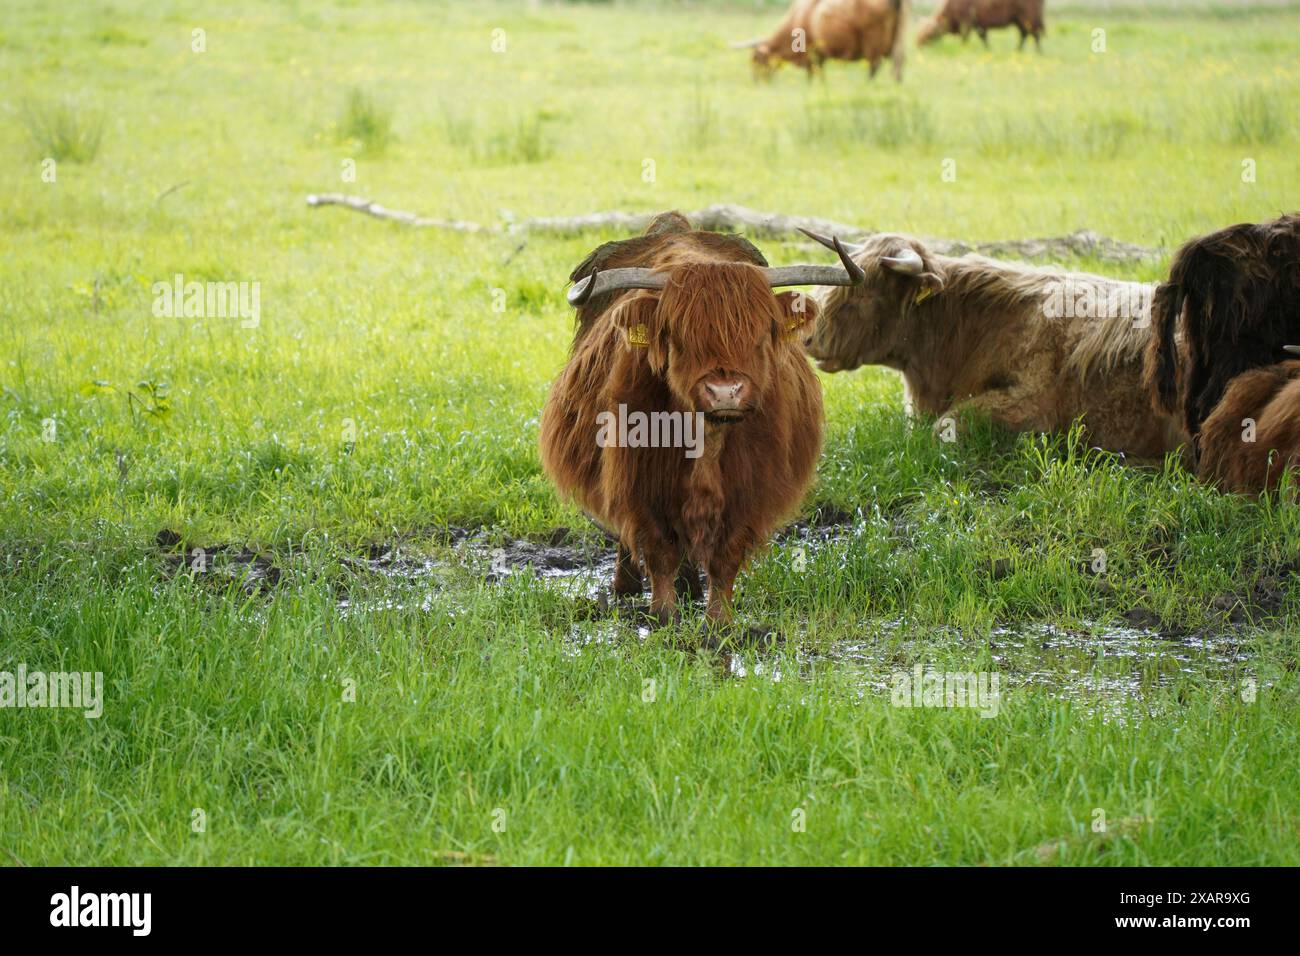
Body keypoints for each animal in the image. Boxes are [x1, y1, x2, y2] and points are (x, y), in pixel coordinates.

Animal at [538, 212, 863, 624]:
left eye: (760, 334)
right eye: (679, 337)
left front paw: (720, 620)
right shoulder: (640, 479)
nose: (725, 391)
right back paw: (628, 585)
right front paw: (663, 615)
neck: (707, 437)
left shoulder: (751, 489)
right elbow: (657, 546)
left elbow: (727, 555)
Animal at [915, 0, 1045, 51]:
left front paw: (963, 48)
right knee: (1024, 34)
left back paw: (1038, 52)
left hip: (1029, 16)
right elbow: (984, 38)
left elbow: (965, 38)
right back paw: (1018, 50)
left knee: (1035, 34)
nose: (918, 46)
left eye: (929, 35)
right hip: (1018, 19)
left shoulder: (966, 22)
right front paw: (988, 49)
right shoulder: (979, 24)